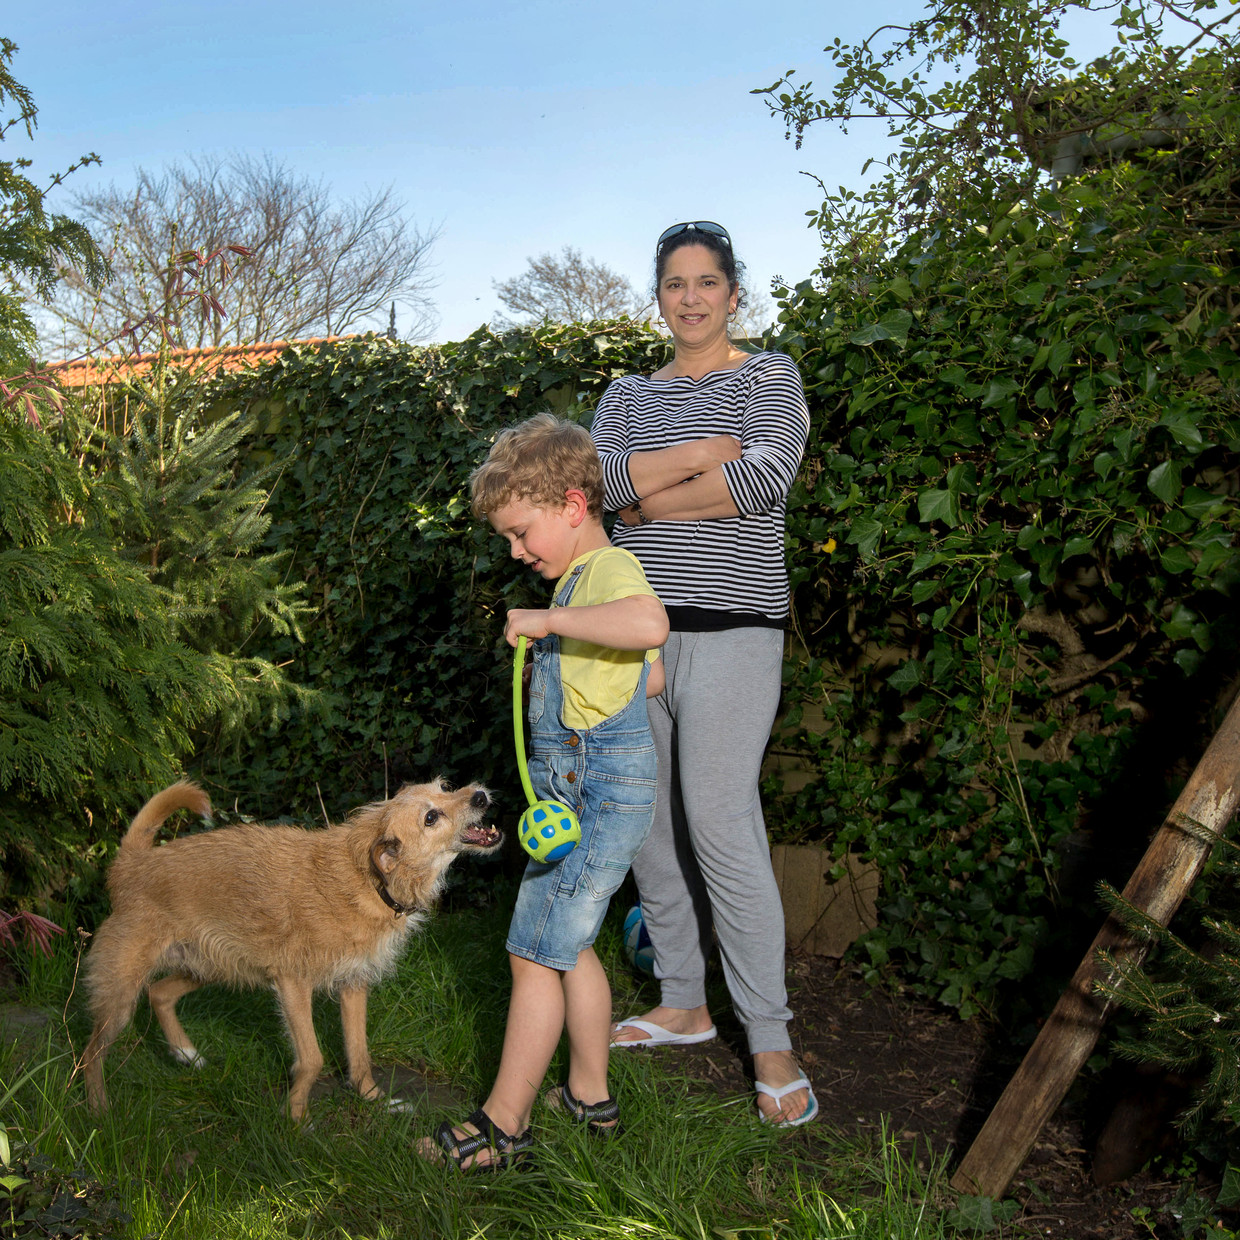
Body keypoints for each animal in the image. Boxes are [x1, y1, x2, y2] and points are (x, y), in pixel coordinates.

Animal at [79, 778, 498, 1120]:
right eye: (431, 817)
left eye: (445, 787)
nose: (480, 795)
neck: (366, 879)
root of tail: (132, 863)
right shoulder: (293, 985)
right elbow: (312, 1059)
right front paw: (296, 1120)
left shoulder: (353, 985)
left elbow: (360, 1055)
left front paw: (376, 1101)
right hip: (120, 997)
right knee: (91, 1053)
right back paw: (99, 1109)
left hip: (208, 966)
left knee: (159, 993)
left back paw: (187, 1054)